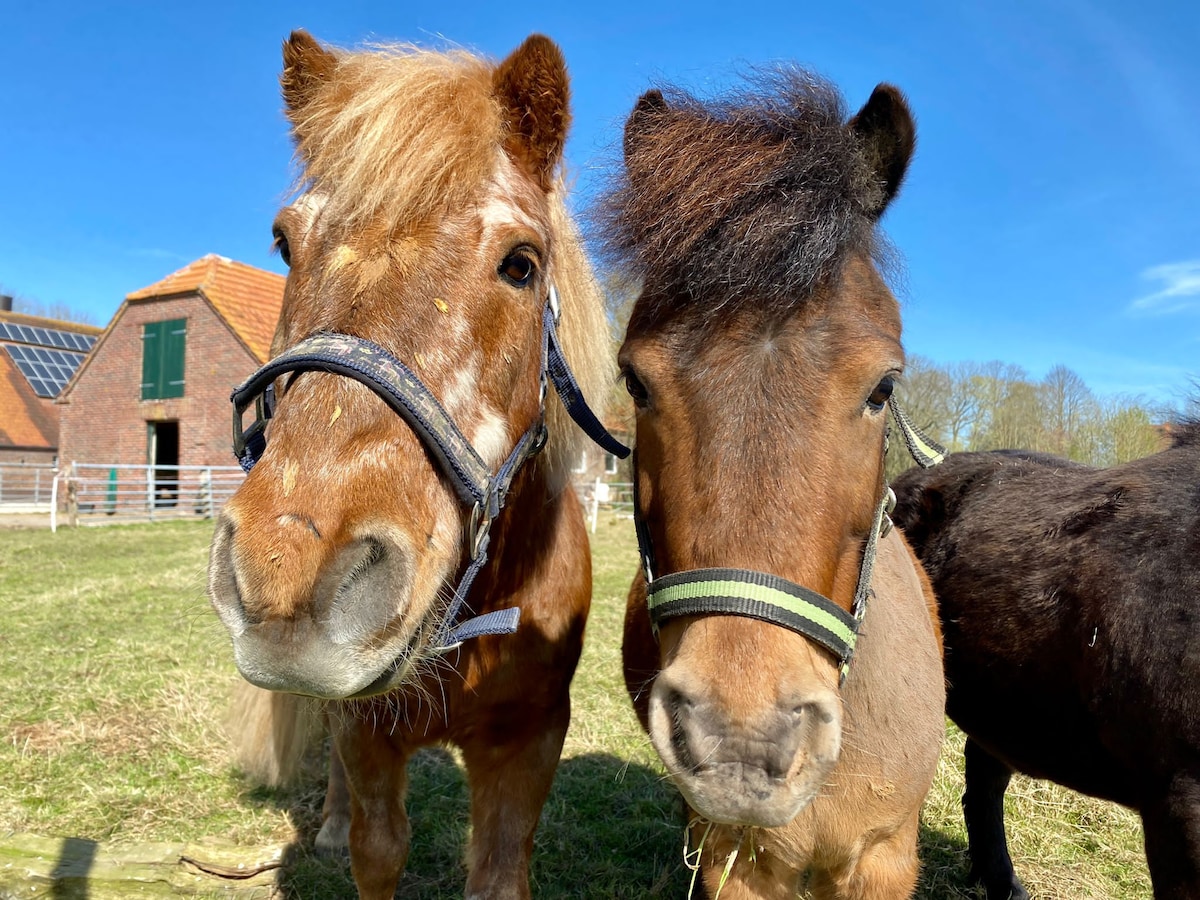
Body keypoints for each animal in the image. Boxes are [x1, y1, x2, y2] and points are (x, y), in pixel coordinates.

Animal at [206, 30, 614, 900]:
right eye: (284, 242)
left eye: (522, 264)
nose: (285, 571)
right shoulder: (366, 735)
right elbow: (378, 848)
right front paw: (342, 833)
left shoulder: (529, 746)